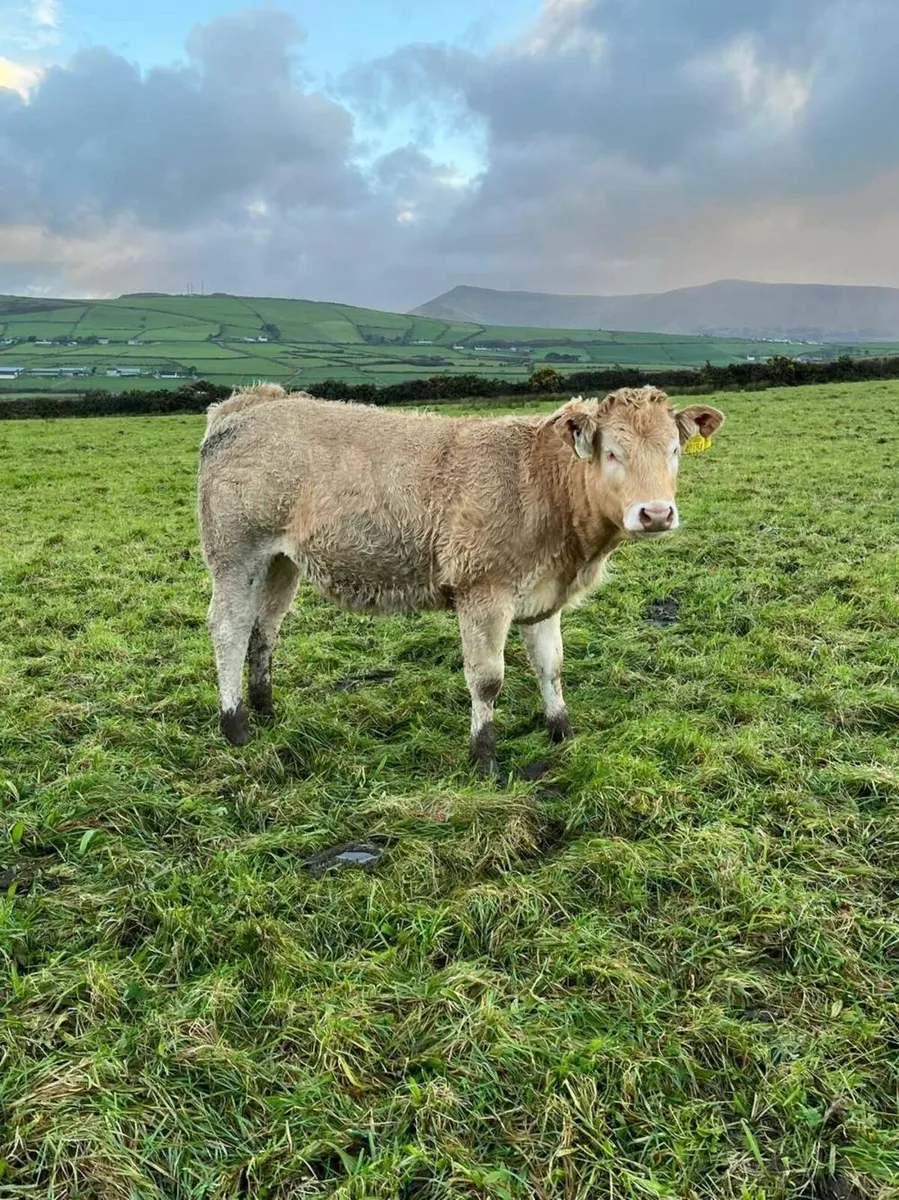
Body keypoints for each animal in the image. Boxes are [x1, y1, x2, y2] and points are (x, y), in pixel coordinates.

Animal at [197, 383, 724, 773]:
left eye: (674, 450)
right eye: (612, 452)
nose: (655, 513)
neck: (540, 482)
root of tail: (250, 402)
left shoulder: (543, 596)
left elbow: (550, 666)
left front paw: (561, 732)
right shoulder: (482, 593)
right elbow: (487, 680)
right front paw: (483, 755)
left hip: (280, 561)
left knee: (264, 629)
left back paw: (265, 707)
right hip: (236, 552)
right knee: (229, 629)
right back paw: (236, 725)